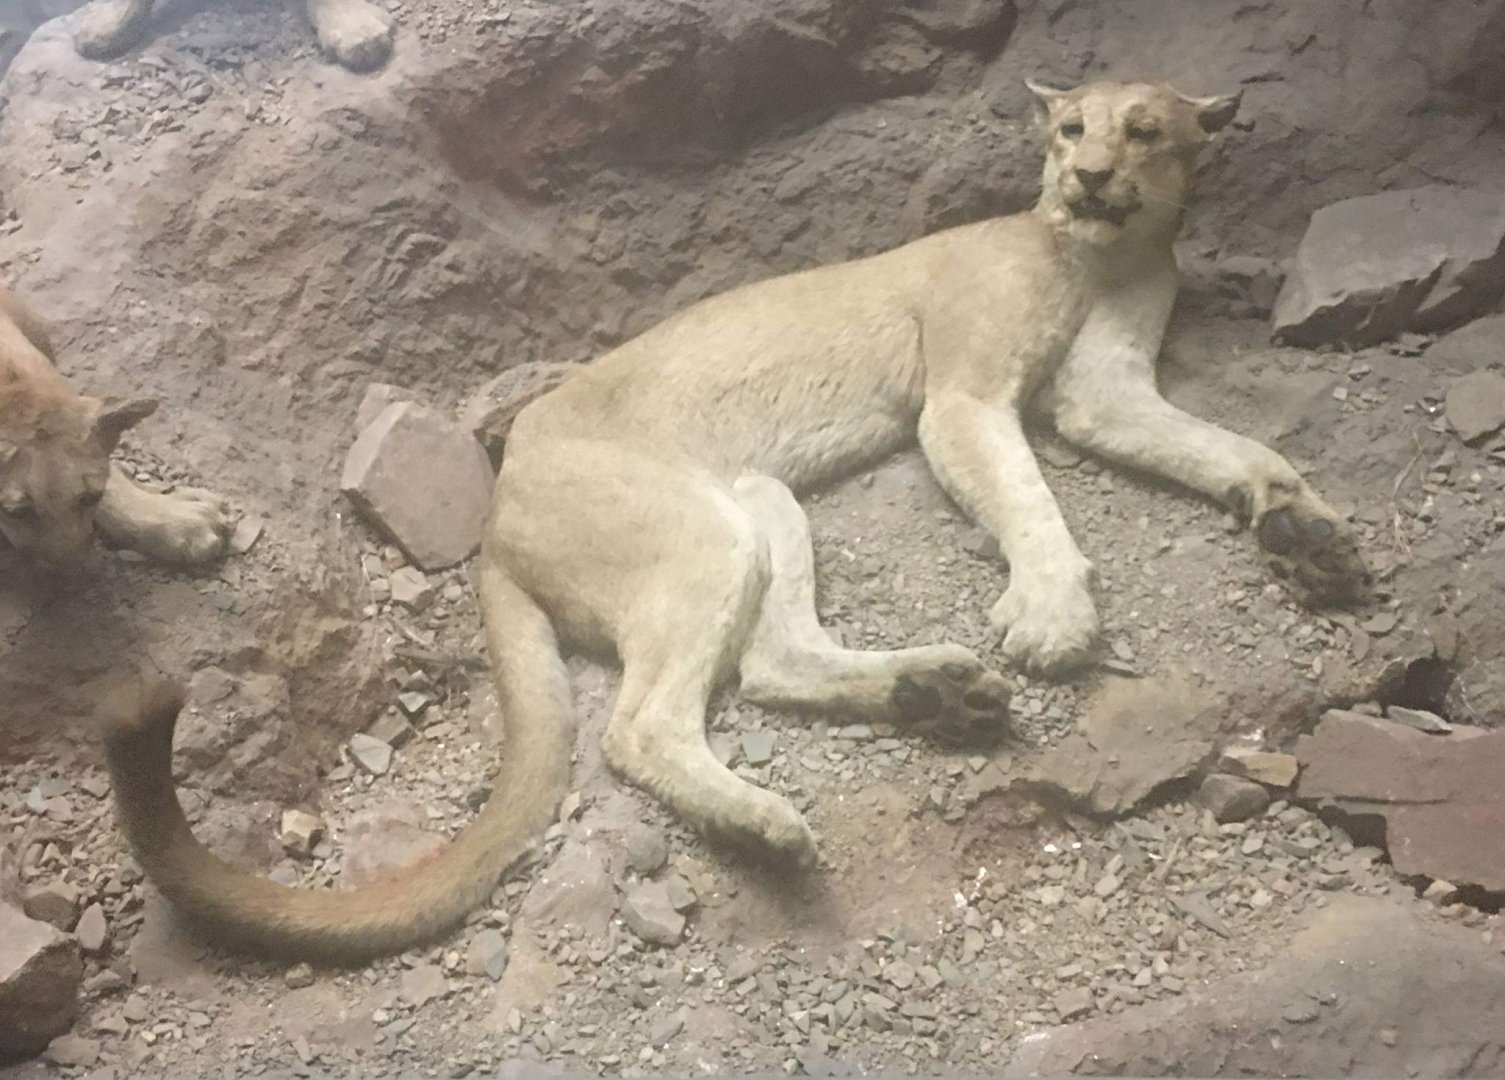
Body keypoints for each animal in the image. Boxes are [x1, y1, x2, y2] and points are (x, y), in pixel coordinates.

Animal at [101, 79, 1368, 961]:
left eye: (1143, 131)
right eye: (1069, 132)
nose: (1092, 176)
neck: (1102, 256)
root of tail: (495, 517)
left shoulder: (1104, 389)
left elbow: (1225, 447)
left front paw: (1304, 532)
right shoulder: (964, 398)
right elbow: (1027, 495)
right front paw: (1051, 615)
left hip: (756, 503)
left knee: (769, 660)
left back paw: (934, 695)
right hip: (698, 532)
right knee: (641, 727)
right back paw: (769, 822)